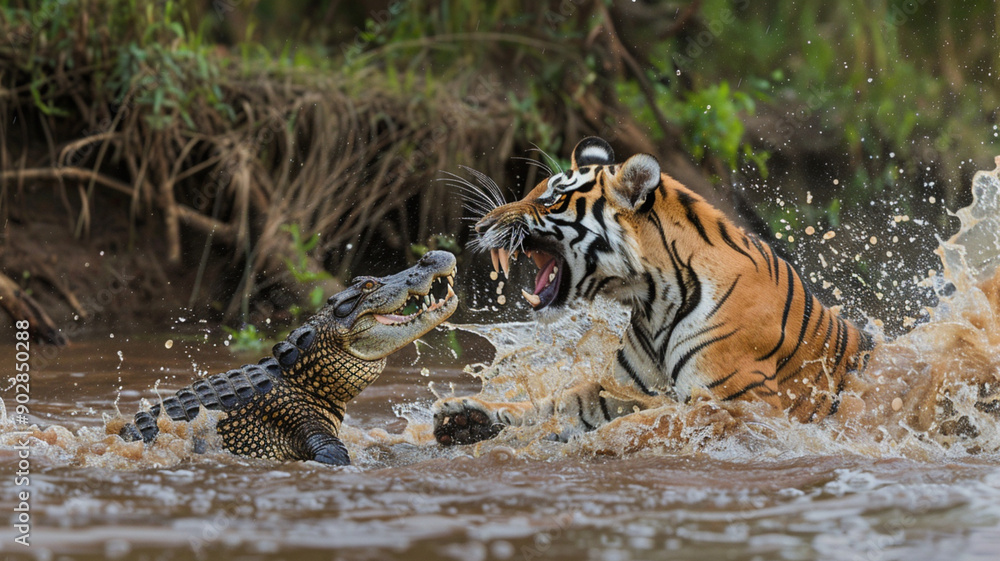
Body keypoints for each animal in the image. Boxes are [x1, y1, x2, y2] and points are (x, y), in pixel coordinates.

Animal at [434, 137, 872, 446]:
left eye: (553, 197)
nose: (479, 227)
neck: (654, 298)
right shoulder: (621, 388)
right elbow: (555, 403)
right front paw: (466, 416)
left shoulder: (744, 405)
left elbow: (650, 423)